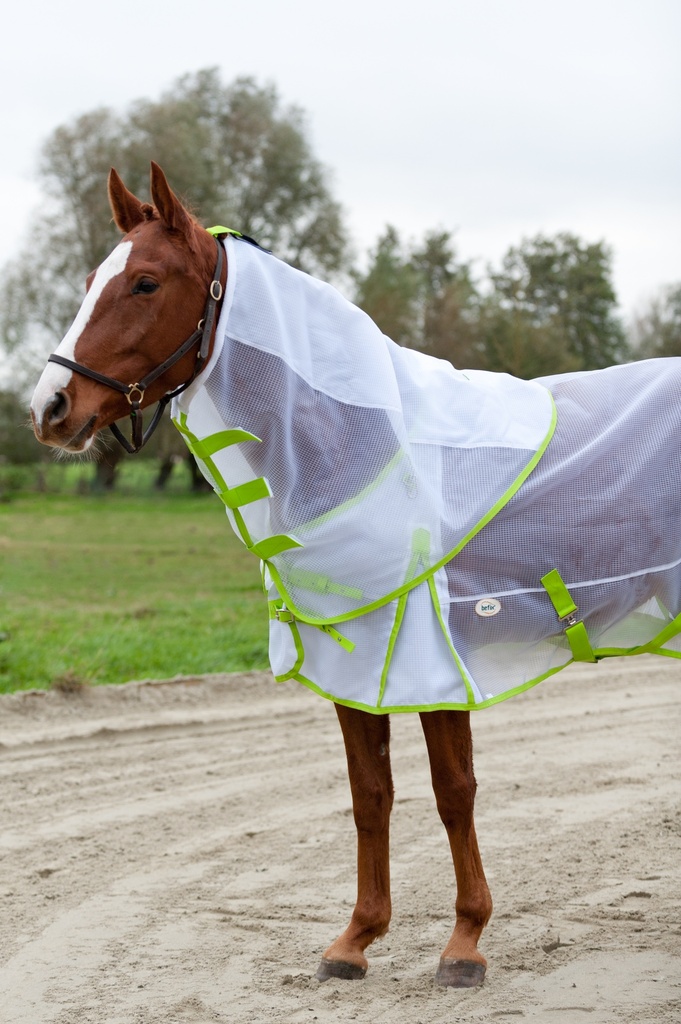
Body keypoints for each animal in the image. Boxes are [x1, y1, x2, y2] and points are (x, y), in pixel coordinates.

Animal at [30, 163, 679, 987]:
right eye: (90, 280)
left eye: (144, 282)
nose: (51, 408)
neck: (364, 442)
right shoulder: (355, 655)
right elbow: (370, 795)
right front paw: (355, 940)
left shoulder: (430, 657)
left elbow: (453, 792)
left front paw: (464, 943)